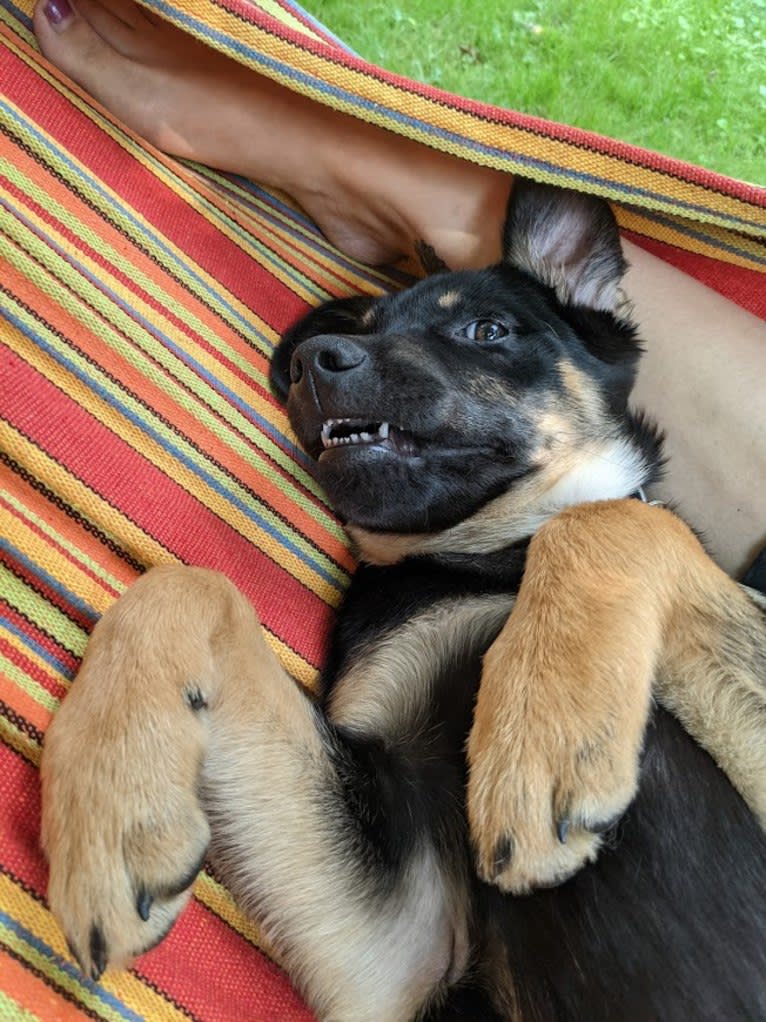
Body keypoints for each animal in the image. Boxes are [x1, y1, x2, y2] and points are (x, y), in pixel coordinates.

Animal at [40, 179, 766, 1017]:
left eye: (487, 330)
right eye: (354, 332)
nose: (313, 364)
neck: (486, 556)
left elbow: (606, 516)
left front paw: (542, 737)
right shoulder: (404, 939)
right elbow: (185, 580)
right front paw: (112, 811)